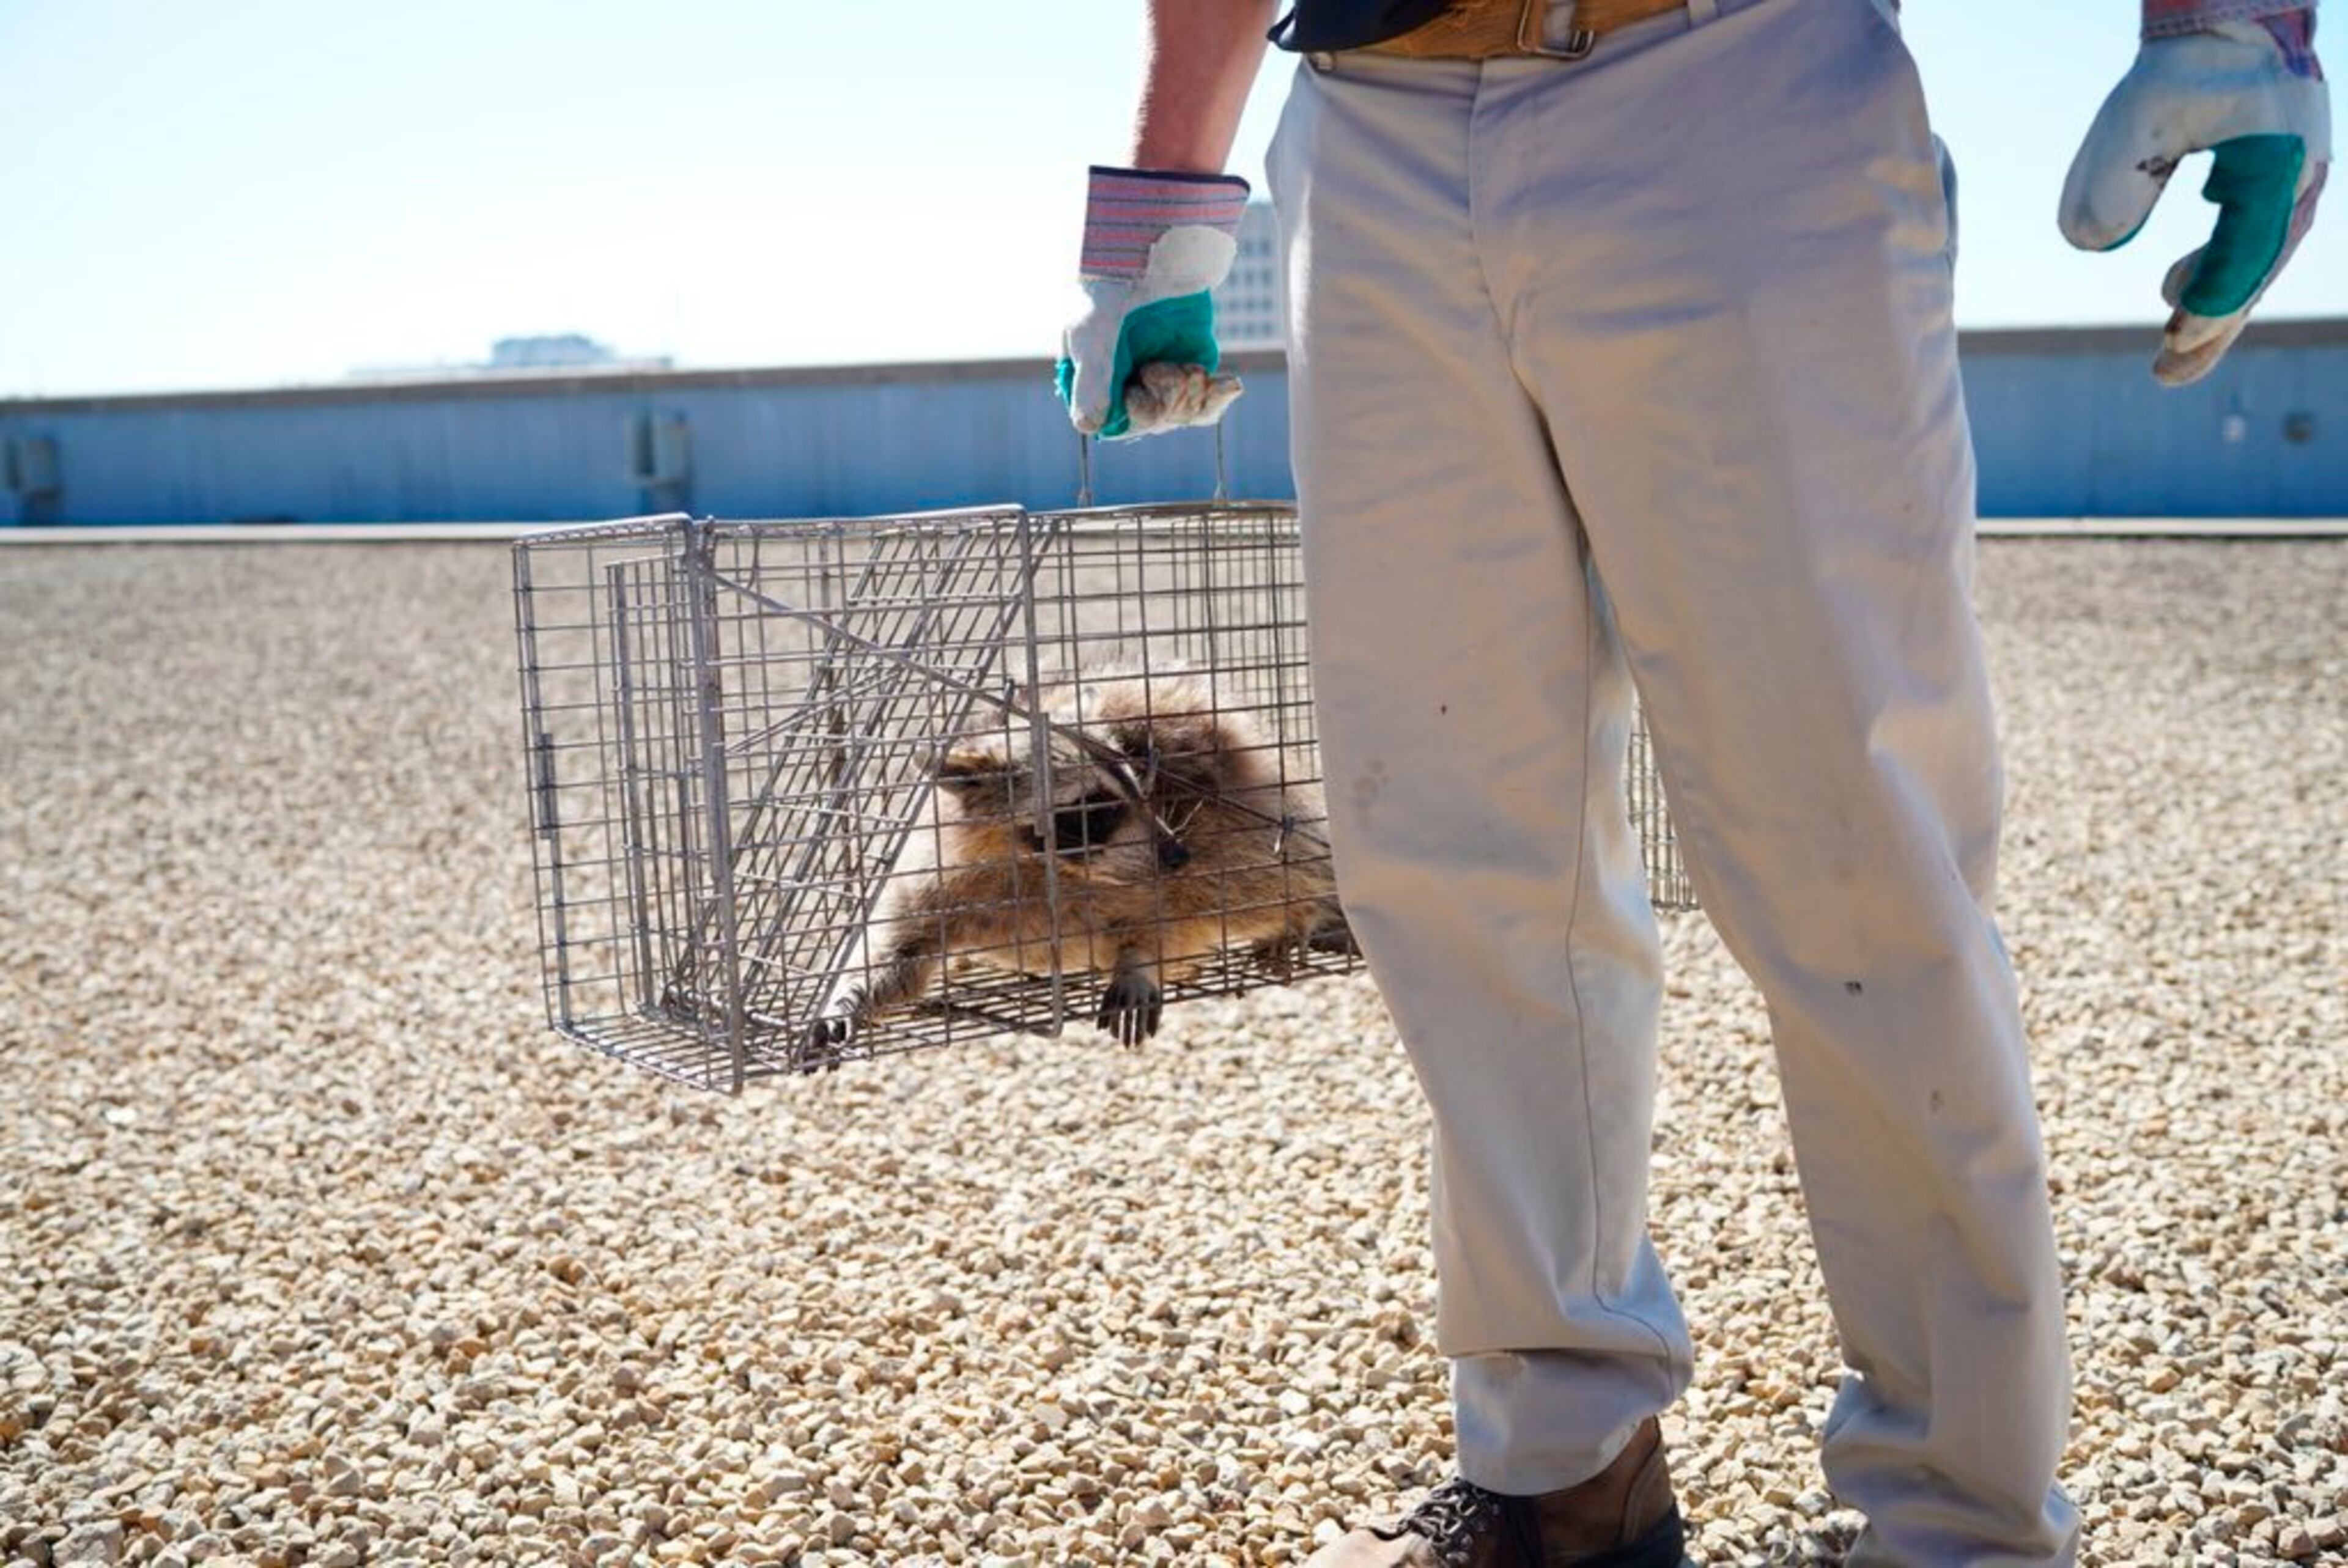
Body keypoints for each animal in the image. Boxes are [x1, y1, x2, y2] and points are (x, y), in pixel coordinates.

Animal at [804, 665, 1351, 1059]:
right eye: (1093, 807)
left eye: (1140, 781)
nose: (1177, 853)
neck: (1046, 866)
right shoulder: (937, 877)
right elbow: (898, 948)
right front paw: (846, 996)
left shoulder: (1168, 864)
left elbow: (1171, 919)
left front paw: (1139, 962)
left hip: (1243, 819)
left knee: (1270, 872)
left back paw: (1304, 915)